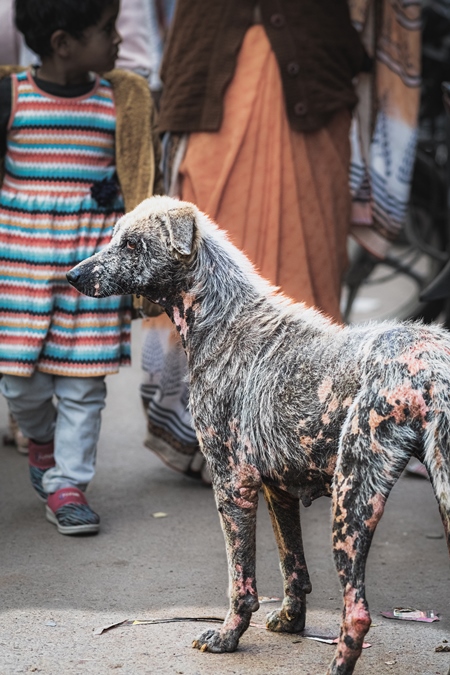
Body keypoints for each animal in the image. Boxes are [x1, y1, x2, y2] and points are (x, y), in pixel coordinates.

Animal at [66, 197, 450, 675]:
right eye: (115, 236)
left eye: (132, 244)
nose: (72, 275)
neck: (224, 318)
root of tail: (432, 363)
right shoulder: (278, 490)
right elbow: (293, 568)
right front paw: (290, 620)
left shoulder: (232, 486)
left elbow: (241, 582)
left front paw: (227, 636)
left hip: (352, 499)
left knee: (357, 612)